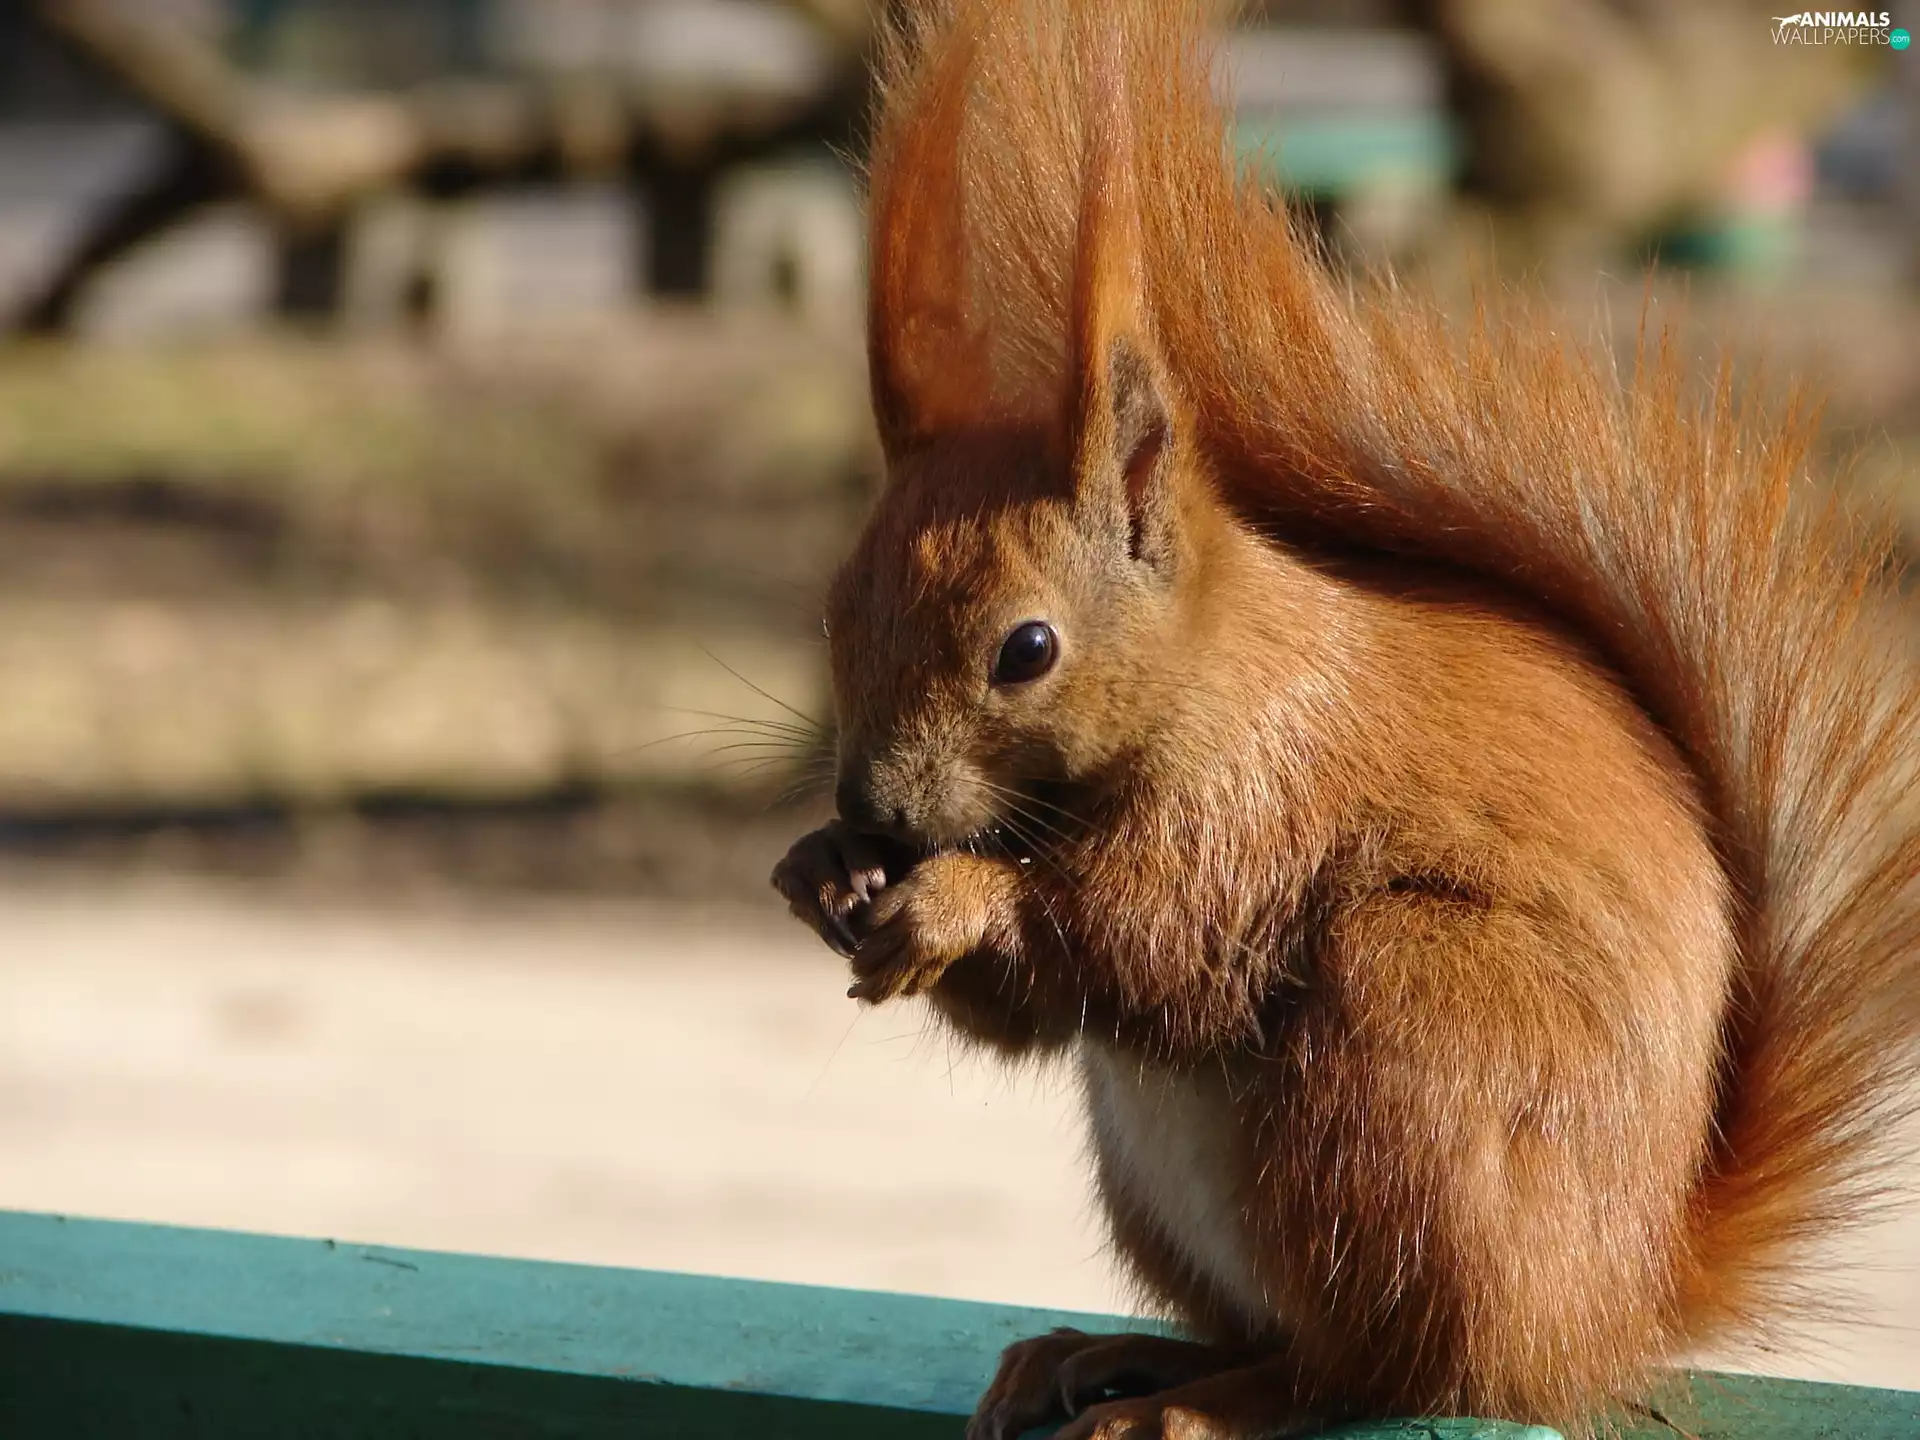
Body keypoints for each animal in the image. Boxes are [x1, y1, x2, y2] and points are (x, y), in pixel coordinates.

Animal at [770, 1, 1920, 1435]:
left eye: (1027, 650)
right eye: (834, 609)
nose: (872, 807)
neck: (1214, 672)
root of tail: (1610, 1306)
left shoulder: (1266, 794)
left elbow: (1151, 937)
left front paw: (951, 901)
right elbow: (1035, 1010)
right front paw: (821, 869)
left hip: (1407, 1059)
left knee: (1384, 1365)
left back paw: (1204, 1401)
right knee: (1290, 1332)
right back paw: (1114, 1355)